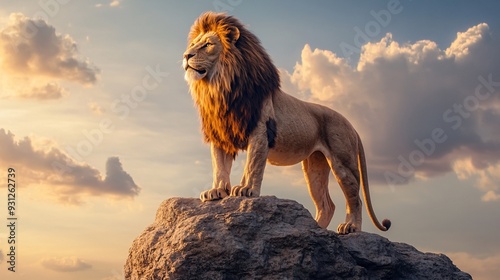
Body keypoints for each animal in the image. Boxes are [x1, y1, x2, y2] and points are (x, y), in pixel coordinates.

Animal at [183, 11, 390, 234]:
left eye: (207, 45)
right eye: (193, 44)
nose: (186, 56)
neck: (219, 86)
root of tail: (352, 125)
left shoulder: (260, 130)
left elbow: (253, 164)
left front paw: (246, 189)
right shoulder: (220, 134)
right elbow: (219, 166)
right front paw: (216, 191)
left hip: (342, 161)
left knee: (355, 198)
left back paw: (350, 227)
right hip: (314, 166)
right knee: (326, 205)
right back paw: (312, 230)